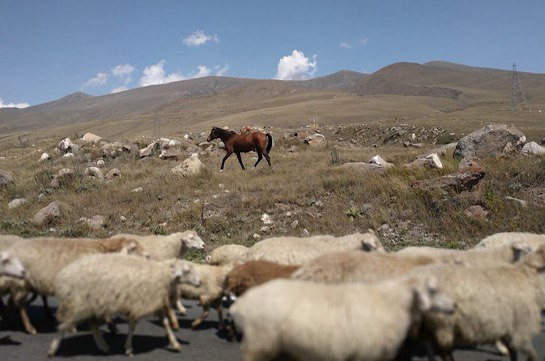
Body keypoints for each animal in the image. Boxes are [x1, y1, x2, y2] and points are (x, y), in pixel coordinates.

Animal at [49, 253, 200, 358]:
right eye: (186, 271)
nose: (199, 282)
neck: (161, 275)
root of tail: (64, 274)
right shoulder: (137, 304)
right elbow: (132, 326)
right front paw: (128, 348)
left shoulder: (154, 303)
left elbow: (166, 323)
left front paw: (175, 344)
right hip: (78, 305)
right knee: (63, 326)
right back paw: (52, 349)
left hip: (92, 305)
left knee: (93, 327)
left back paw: (104, 347)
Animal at [230, 276, 454, 360]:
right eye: (432, 290)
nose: (454, 306)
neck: (391, 302)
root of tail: (240, 305)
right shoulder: (367, 354)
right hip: (259, 344)